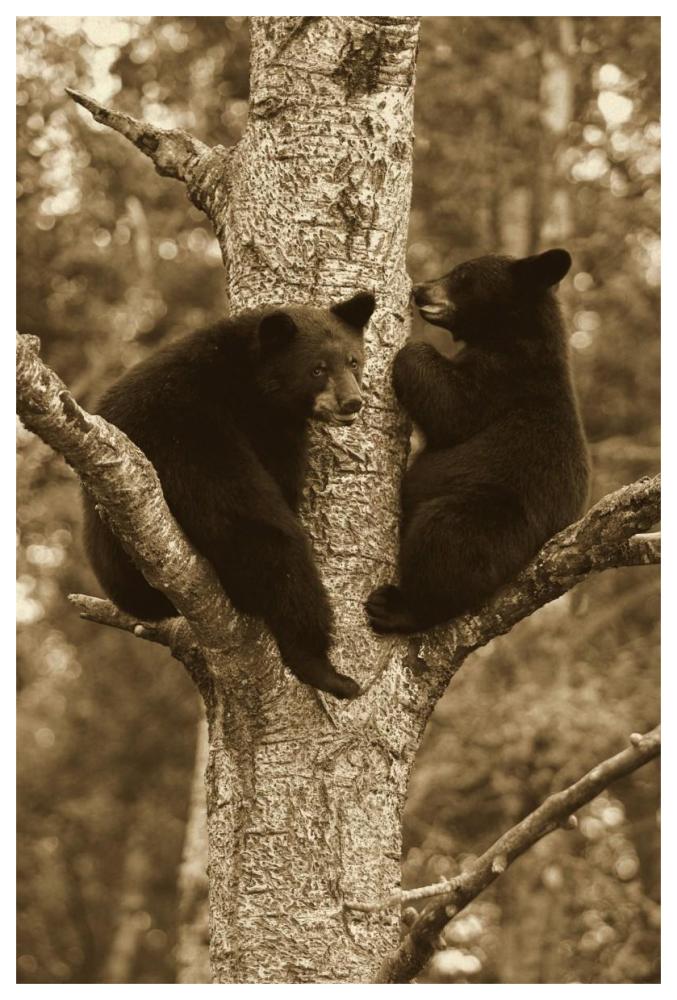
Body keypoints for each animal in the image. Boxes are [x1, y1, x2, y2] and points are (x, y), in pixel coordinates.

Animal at [84, 292, 376, 699]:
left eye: (353, 361)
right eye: (317, 369)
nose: (352, 402)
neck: (249, 383)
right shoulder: (203, 428)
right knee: (276, 549)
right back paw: (325, 669)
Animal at [365, 249, 590, 634]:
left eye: (462, 276)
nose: (420, 290)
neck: (512, 334)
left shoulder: (503, 379)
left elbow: (451, 406)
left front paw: (408, 347)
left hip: (496, 516)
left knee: (446, 540)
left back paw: (398, 607)